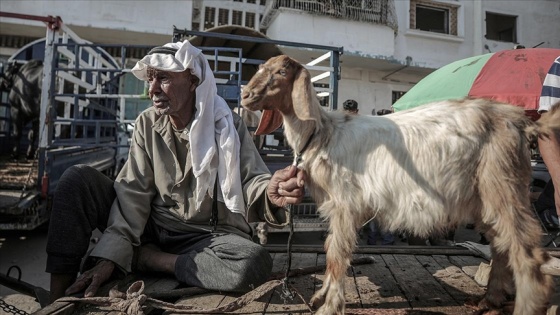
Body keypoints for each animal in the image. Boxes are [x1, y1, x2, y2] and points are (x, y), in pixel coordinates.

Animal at [241, 55, 560, 315]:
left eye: (282, 71)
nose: (245, 94)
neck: (324, 133)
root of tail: (521, 122)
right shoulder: (334, 206)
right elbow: (331, 247)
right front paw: (321, 296)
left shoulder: (345, 202)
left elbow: (337, 253)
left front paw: (329, 306)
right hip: (484, 196)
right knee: (501, 246)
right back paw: (489, 300)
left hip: (502, 183)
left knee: (527, 253)